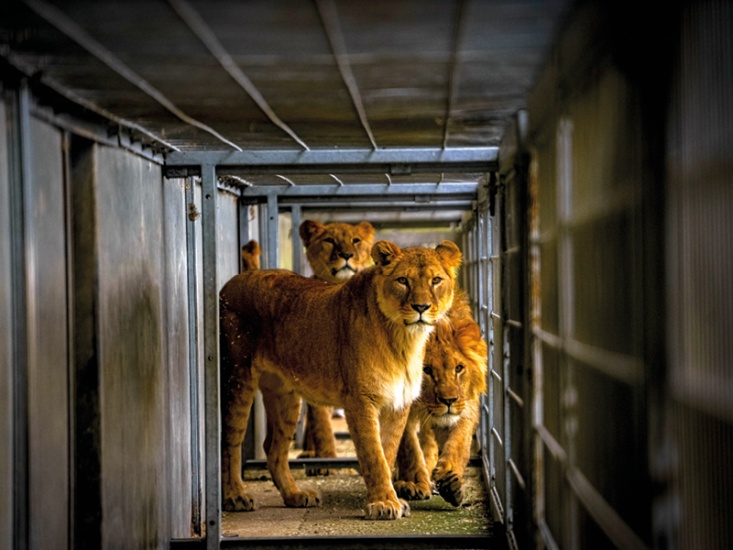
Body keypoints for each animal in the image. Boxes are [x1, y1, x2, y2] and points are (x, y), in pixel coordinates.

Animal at [393, 289, 487, 507]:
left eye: (459, 368)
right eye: (426, 370)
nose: (449, 401)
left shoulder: (466, 405)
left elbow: (459, 442)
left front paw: (450, 481)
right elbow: (409, 447)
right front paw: (415, 483)